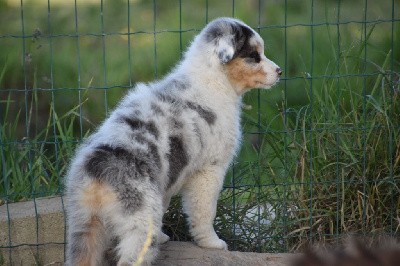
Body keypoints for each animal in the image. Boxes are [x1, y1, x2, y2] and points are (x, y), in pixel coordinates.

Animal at [65, 17, 282, 264]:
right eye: (254, 56)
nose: (280, 71)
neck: (213, 81)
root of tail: (98, 166)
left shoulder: (168, 177)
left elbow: (167, 204)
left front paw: (163, 237)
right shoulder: (209, 170)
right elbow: (204, 211)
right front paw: (212, 243)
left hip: (83, 223)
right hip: (139, 221)